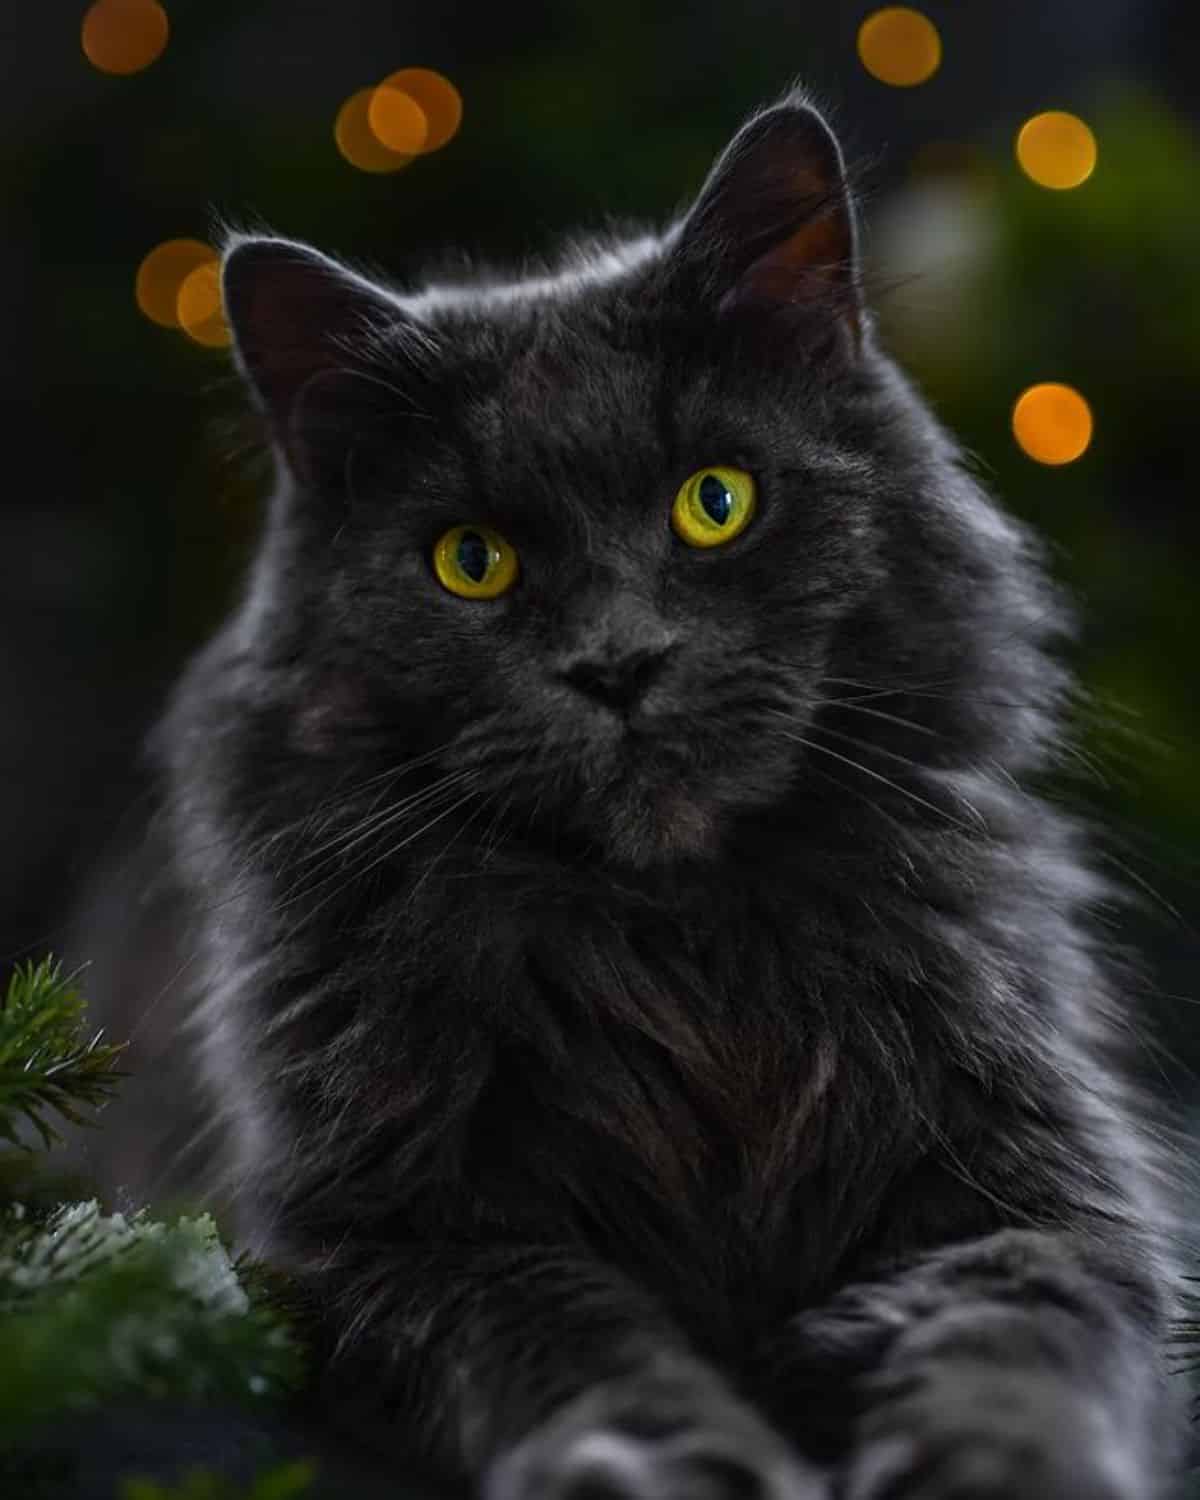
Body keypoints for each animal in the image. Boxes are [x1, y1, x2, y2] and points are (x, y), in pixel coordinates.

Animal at [138, 93, 1182, 1500]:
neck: (686, 963)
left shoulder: (1040, 1186)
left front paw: (1001, 1463)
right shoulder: (383, 1240)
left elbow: (1014, 1333)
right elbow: (584, 1349)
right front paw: (675, 1465)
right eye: (472, 562)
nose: (619, 664)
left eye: (714, 502)